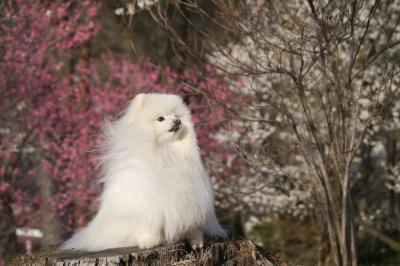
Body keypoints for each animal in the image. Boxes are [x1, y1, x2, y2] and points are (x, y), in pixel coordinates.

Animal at [61, 92, 227, 250]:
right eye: (160, 118)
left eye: (177, 116)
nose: (177, 121)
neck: (166, 151)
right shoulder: (148, 202)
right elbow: (149, 224)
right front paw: (149, 241)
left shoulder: (192, 201)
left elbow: (192, 226)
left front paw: (196, 240)